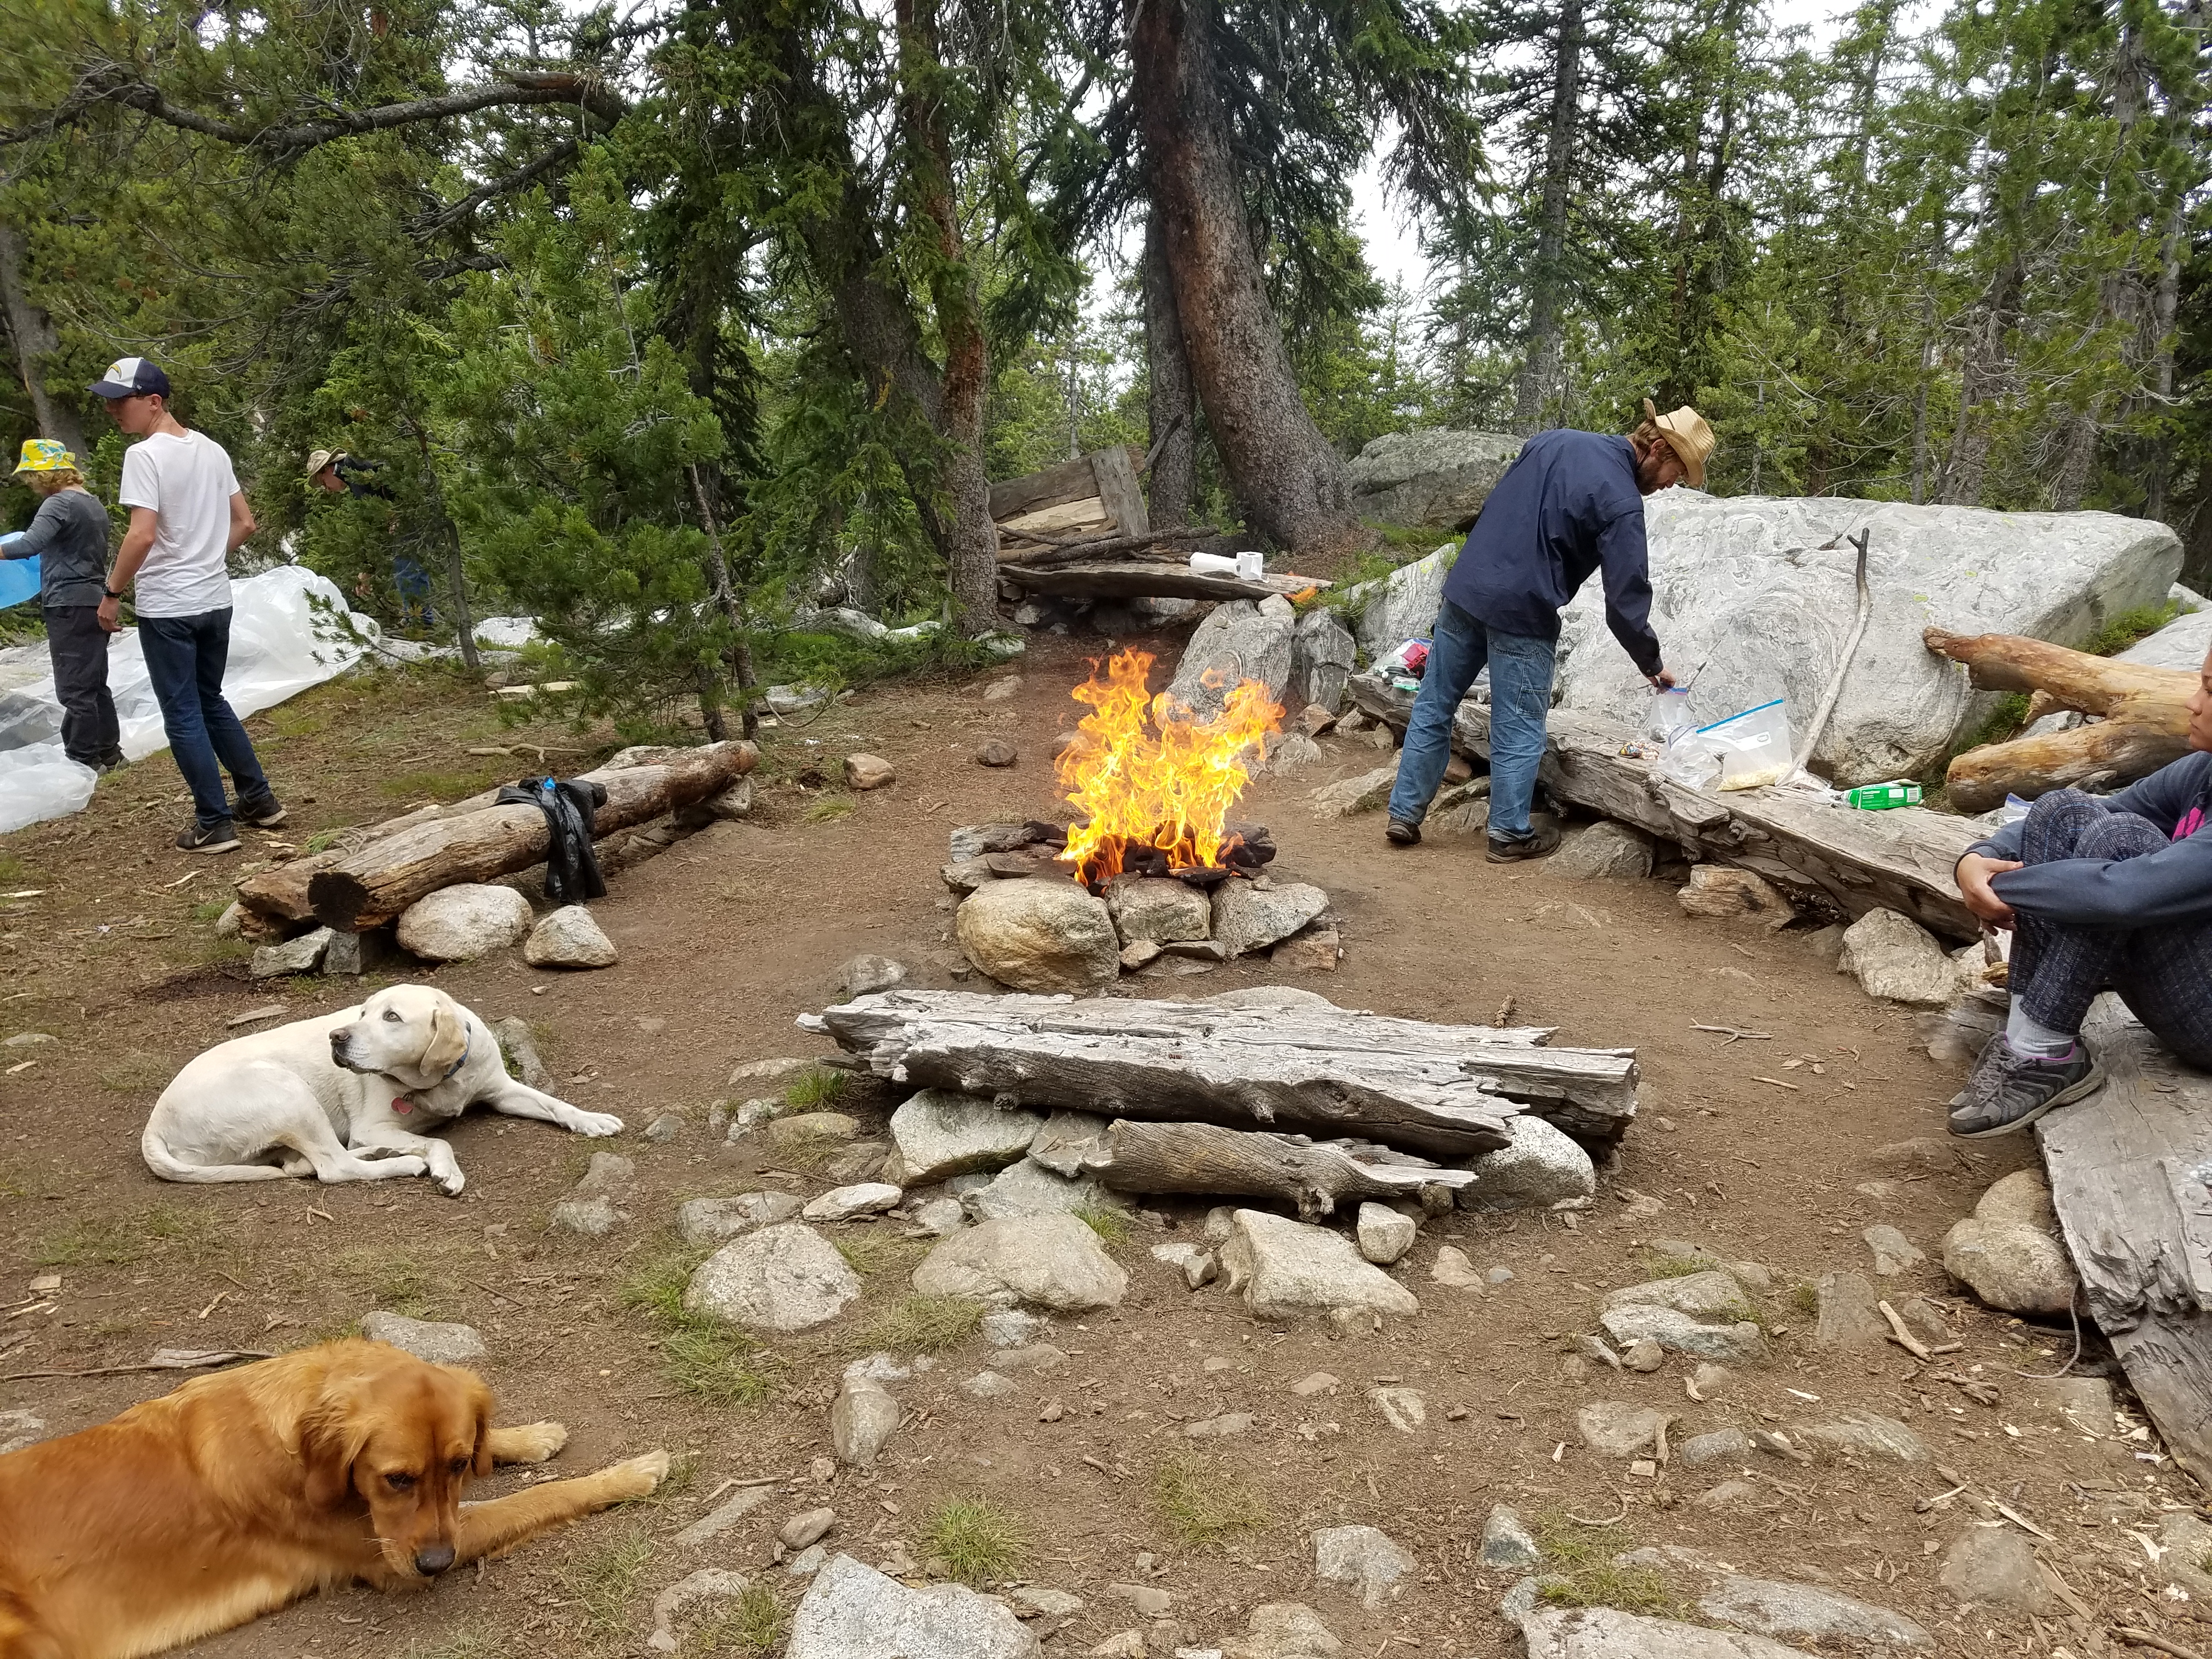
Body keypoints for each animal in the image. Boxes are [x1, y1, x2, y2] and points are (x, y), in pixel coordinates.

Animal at [143, 982, 619, 1203]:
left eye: (391, 1017)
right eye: (362, 1013)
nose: (336, 1038)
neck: (440, 1080)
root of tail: (154, 1126)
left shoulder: (501, 1089)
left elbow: (553, 1103)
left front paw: (591, 1119)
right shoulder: (372, 1125)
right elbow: (439, 1141)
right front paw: (445, 1170)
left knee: (310, 1163)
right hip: (287, 1091)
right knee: (334, 1167)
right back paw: (403, 1162)